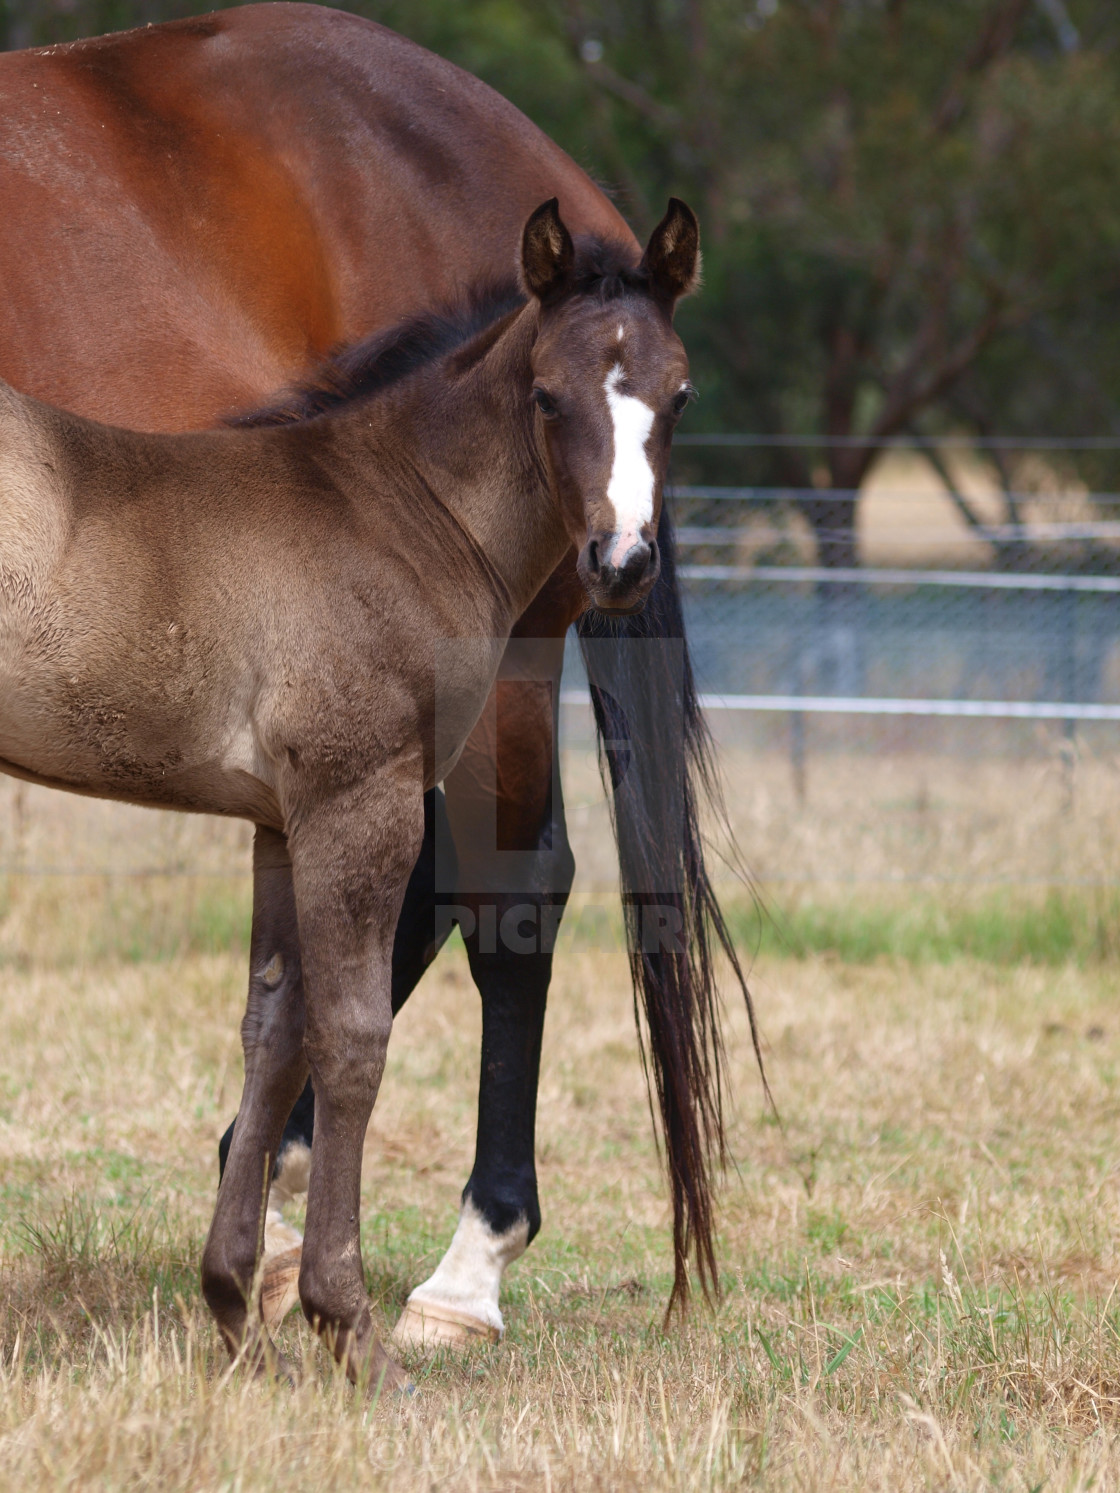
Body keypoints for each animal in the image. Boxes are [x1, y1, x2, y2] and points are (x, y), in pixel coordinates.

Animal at [0, 198, 701, 1385]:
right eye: (547, 394)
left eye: (679, 393)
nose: (620, 562)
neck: (387, 507)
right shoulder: (358, 798)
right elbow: (353, 1034)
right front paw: (348, 1323)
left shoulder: (283, 821)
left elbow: (273, 1028)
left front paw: (234, 1307)